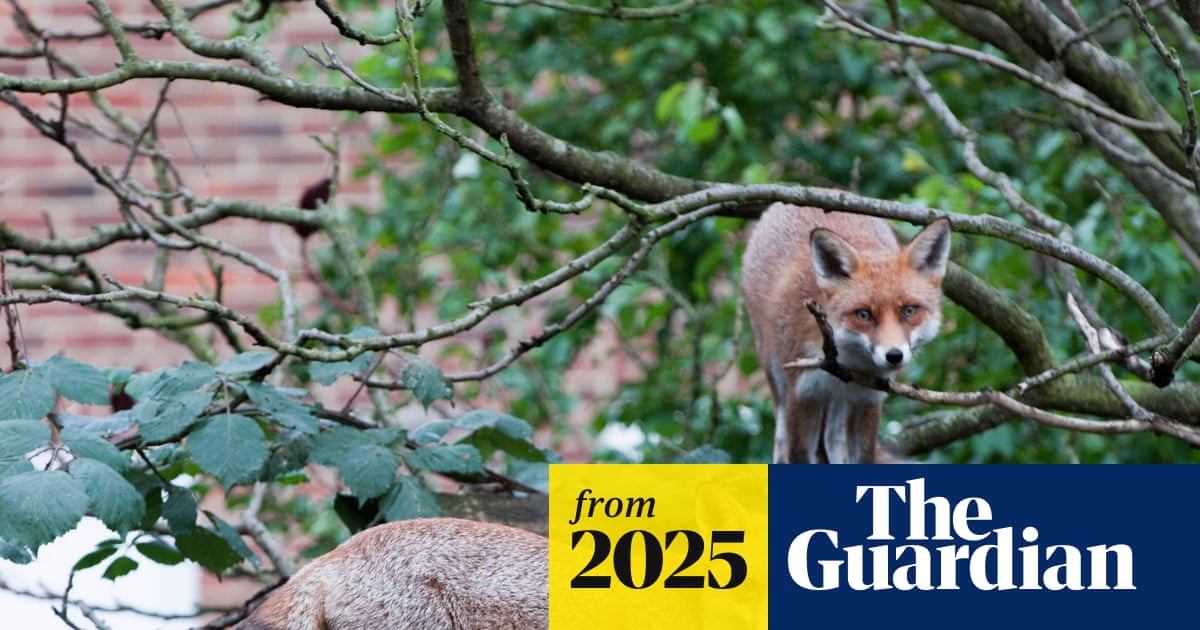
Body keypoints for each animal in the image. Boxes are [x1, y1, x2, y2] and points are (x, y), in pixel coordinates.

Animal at [741, 203, 951, 464]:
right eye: (863, 314)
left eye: (909, 310)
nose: (894, 356)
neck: (848, 359)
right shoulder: (803, 394)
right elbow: (799, 453)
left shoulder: (869, 398)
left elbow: (864, 456)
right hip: (775, 371)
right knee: (781, 436)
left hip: (842, 399)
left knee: (833, 436)